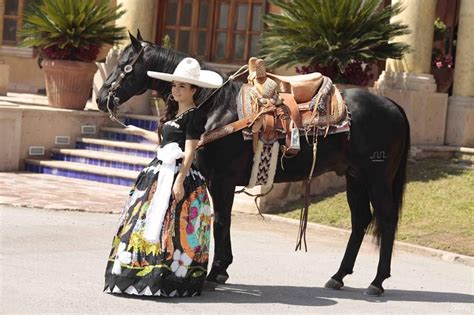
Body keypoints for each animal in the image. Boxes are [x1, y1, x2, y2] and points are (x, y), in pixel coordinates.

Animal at [97, 33, 412, 298]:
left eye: (125, 65)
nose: (100, 98)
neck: (214, 107)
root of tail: (392, 105)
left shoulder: (222, 180)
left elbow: (222, 222)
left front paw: (214, 273)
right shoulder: (217, 181)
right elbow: (223, 222)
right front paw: (221, 271)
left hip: (377, 179)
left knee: (386, 219)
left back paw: (377, 282)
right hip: (354, 177)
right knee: (360, 221)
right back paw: (338, 276)